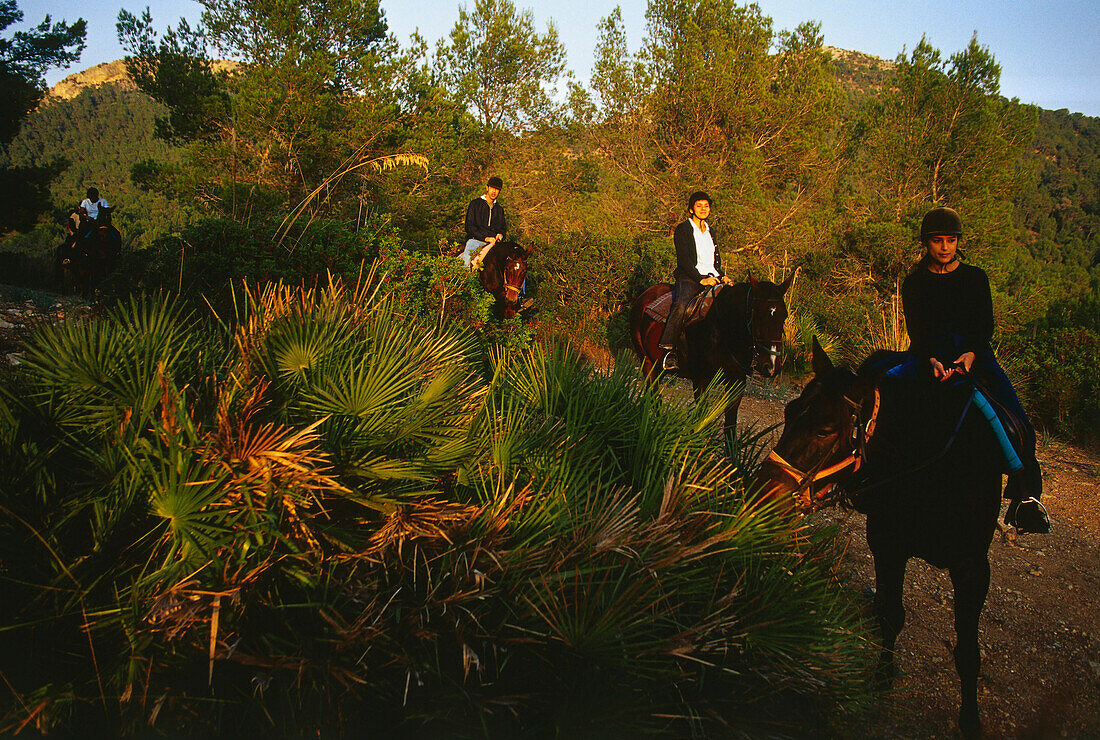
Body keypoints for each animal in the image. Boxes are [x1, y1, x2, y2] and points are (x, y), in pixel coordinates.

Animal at [629, 273, 792, 431]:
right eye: (758, 315)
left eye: (784, 316)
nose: (771, 366)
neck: (724, 330)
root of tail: (644, 295)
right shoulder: (701, 380)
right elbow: (701, 420)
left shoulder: (737, 383)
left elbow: (730, 427)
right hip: (647, 363)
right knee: (653, 393)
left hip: (659, 368)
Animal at [756, 340, 1007, 738]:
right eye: (789, 410)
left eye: (825, 429)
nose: (763, 492)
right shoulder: (889, 545)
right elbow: (891, 614)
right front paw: (883, 677)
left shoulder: (973, 568)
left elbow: (968, 652)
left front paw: (970, 719)